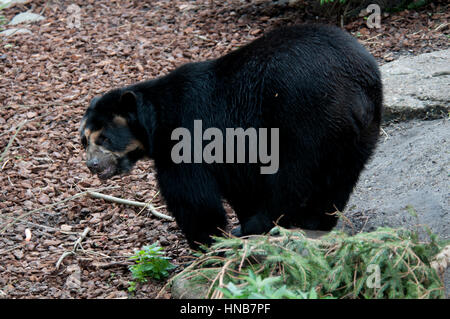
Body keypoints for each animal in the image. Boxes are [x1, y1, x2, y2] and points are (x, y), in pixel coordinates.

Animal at [79, 24, 382, 250]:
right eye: (84, 140)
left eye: (104, 138)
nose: (92, 165)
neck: (157, 120)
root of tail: (355, 91)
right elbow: (239, 186)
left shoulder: (187, 136)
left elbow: (192, 196)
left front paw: (206, 240)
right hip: (360, 133)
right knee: (339, 179)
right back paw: (315, 223)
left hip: (302, 120)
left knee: (292, 179)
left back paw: (262, 226)